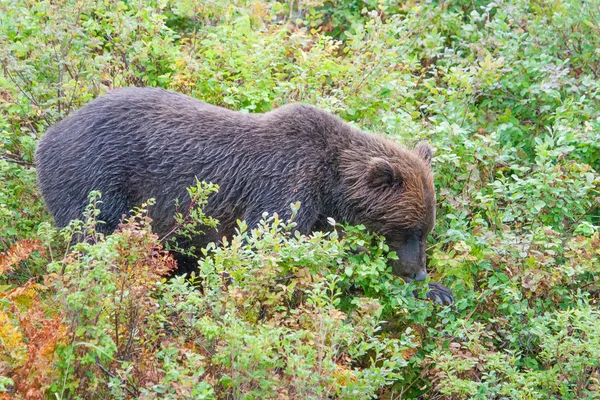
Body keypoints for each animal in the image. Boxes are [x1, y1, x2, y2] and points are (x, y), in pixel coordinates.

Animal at [35, 88, 452, 304]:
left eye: (426, 229)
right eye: (408, 229)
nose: (418, 271)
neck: (331, 181)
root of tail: (46, 137)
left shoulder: (319, 211)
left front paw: (437, 290)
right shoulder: (287, 185)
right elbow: (266, 243)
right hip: (97, 179)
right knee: (95, 237)